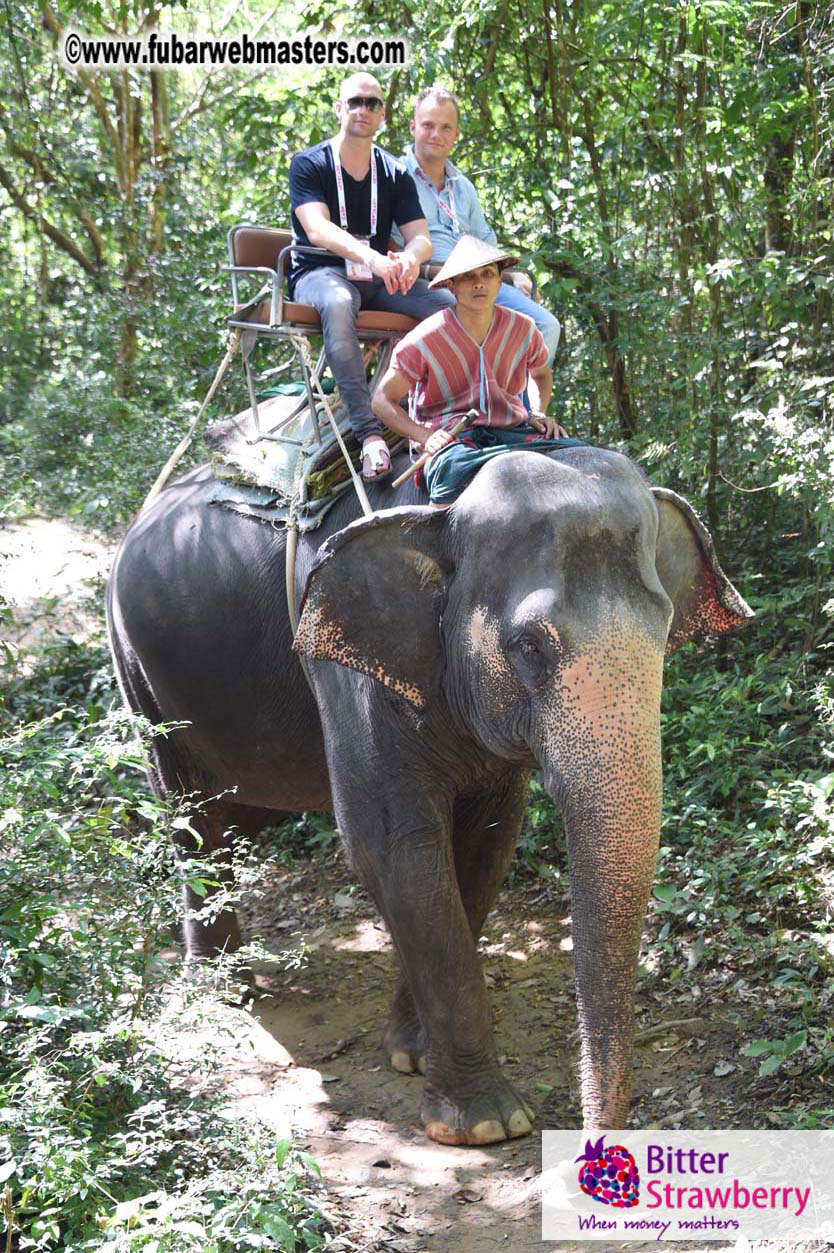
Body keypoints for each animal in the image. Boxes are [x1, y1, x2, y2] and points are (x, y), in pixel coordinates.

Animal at [106, 442, 752, 1144]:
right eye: (530, 647)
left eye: (664, 633)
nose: (597, 1147)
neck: (446, 506)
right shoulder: (347, 667)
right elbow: (393, 845)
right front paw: (486, 1125)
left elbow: (486, 844)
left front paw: (411, 1053)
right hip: (138, 677)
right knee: (191, 820)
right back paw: (227, 995)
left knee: (235, 818)